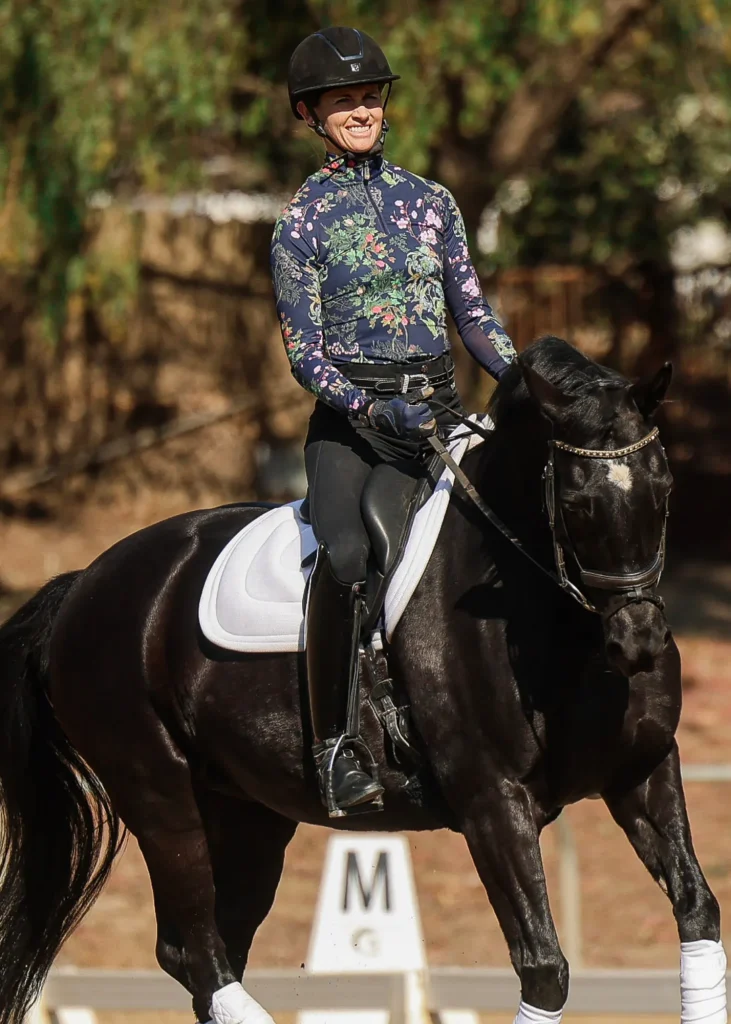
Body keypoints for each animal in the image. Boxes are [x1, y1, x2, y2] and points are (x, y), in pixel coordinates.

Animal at [0, 337, 724, 1024]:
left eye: (663, 488)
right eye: (576, 502)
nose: (638, 643)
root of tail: (82, 586)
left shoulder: (642, 771)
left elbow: (699, 912)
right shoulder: (493, 802)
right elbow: (544, 968)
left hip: (247, 812)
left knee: (204, 951)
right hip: (159, 794)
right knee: (201, 953)